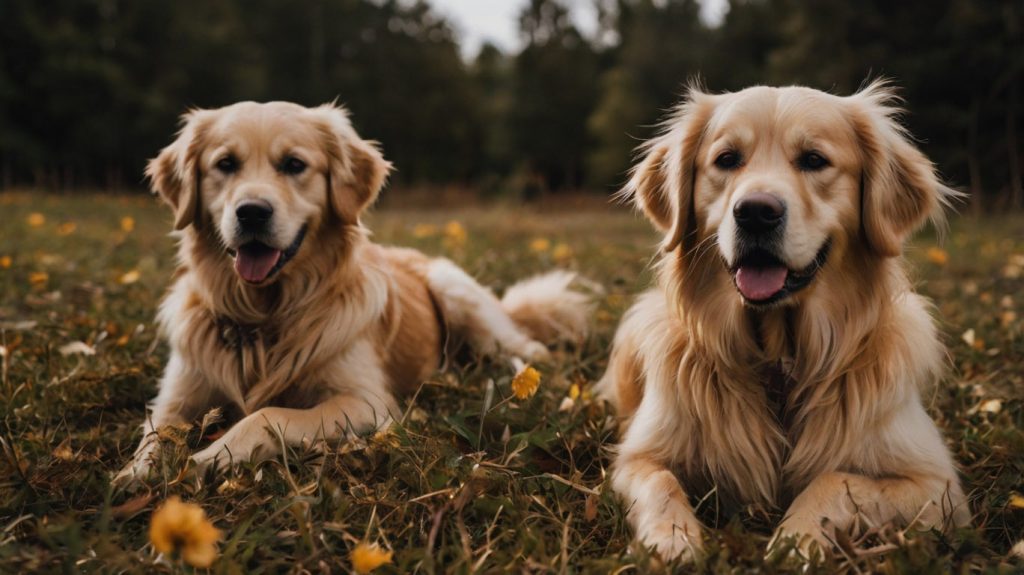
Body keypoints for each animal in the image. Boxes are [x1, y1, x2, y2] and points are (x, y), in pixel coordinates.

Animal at [115, 101, 589, 478]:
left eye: (294, 165)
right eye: (225, 164)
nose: (251, 212)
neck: (266, 316)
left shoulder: (367, 404)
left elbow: (267, 414)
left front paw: (210, 457)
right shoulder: (177, 396)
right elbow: (157, 432)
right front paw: (135, 475)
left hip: (461, 297)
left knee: (526, 348)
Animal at [598, 81, 970, 560]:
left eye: (814, 159)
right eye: (727, 159)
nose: (756, 212)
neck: (779, 359)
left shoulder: (937, 487)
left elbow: (836, 479)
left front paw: (798, 537)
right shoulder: (636, 458)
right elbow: (660, 480)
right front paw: (670, 539)